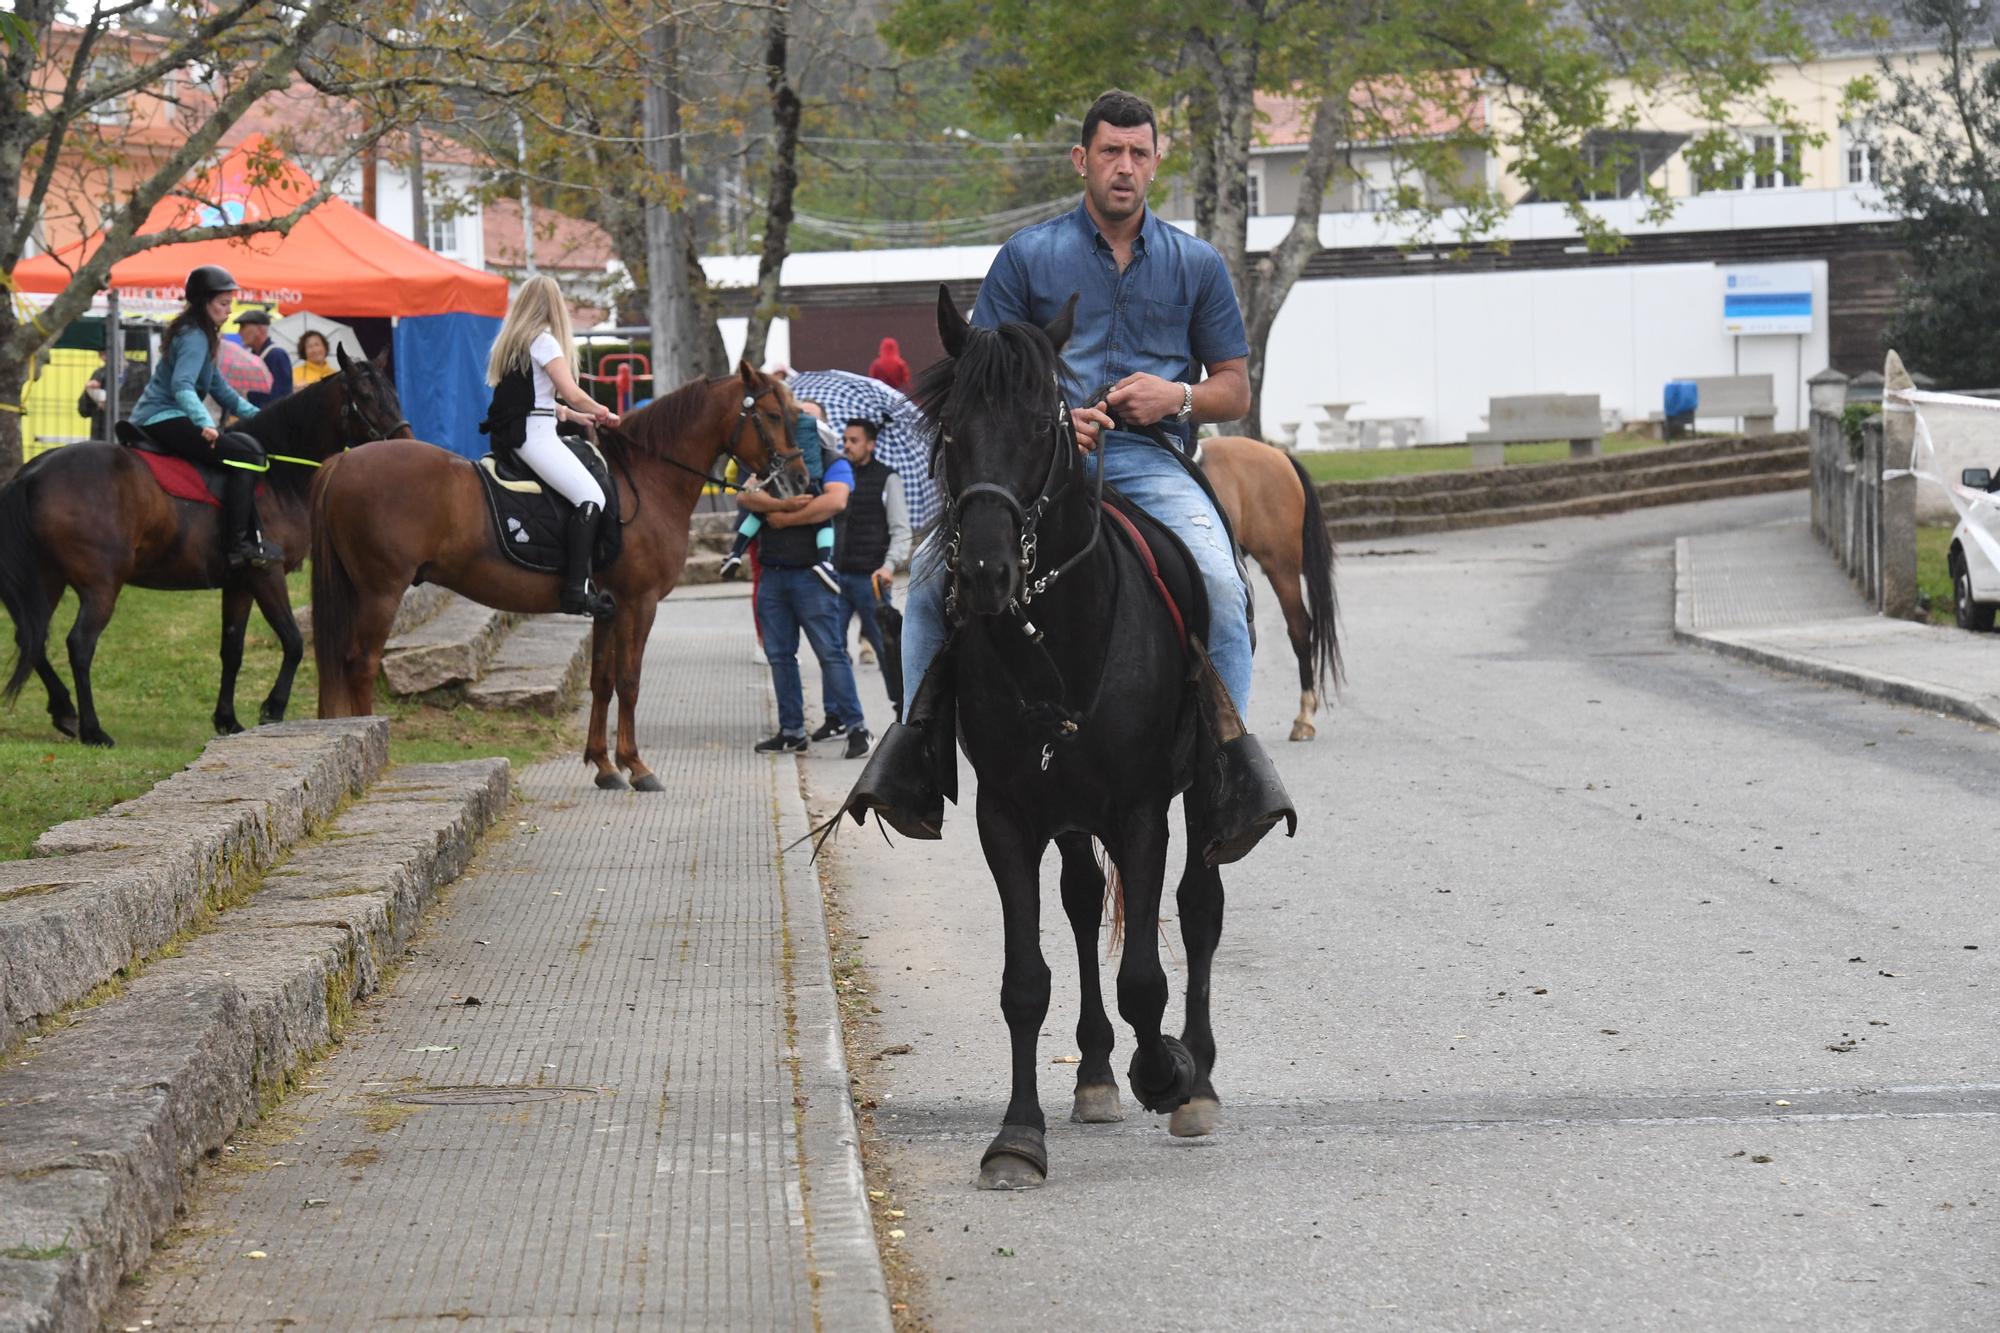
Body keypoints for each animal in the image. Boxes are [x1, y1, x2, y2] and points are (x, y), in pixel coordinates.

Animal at [0, 350, 410, 748]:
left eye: (393, 391)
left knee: (32, 638)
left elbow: (232, 650)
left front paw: (227, 719)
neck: (278, 473)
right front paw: (273, 708)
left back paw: (64, 710)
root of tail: (32, 474)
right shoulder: (266, 573)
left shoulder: (240, 583)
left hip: (48, 579)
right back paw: (92, 729)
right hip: (101, 585)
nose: (405, 440)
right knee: (79, 644)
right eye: (366, 395)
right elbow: (294, 642)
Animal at [312, 358, 804, 784]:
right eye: (773, 415)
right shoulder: (638, 603)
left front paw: (604, 766)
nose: (799, 479)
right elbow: (629, 681)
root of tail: (344, 460)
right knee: (359, 665)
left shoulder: (608, 607)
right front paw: (636, 766)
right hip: (381, 593)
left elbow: (602, 680)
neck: (646, 479)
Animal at [888, 288, 1232, 1184]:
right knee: (1080, 904)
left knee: (1200, 906)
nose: (984, 571)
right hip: (1069, 815)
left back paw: (1196, 1079)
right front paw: (1018, 1134)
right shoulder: (1006, 815)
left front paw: (1167, 1069)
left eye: (1044, 424)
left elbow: (1146, 974)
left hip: (1193, 796)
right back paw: (1096, 1070)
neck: (1058, 636)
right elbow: (1025, 980)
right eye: (951, 428)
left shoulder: (1143, 810)